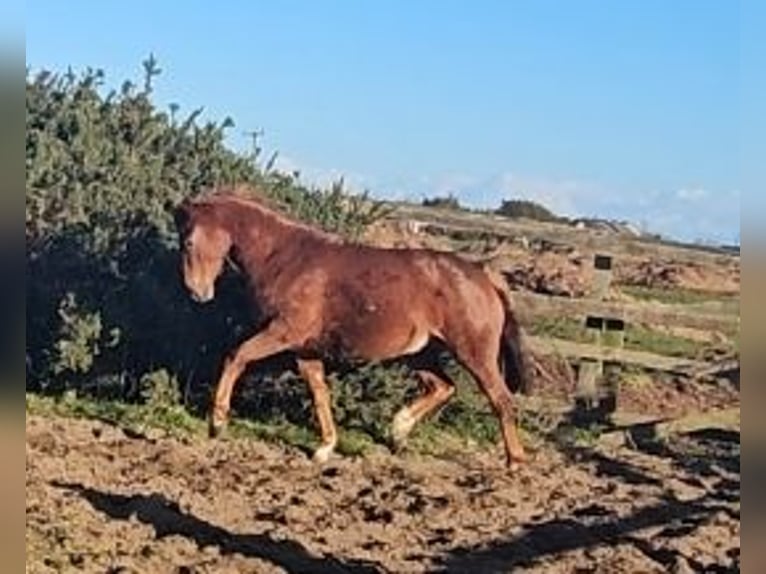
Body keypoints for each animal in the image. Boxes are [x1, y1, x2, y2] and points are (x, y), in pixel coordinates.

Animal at [173, 185, 531, 469]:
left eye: (188, 242)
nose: (197, 292)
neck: (285, 258)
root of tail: (484, 273)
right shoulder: (305, 349)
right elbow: (319, 392)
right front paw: (325, 448)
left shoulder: (284, 332)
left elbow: (236, 356)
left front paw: (217, 423)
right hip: (420, 353)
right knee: (443, 387)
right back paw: (398, 432)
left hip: (474, 354)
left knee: (501, 399)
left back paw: (514, 461)